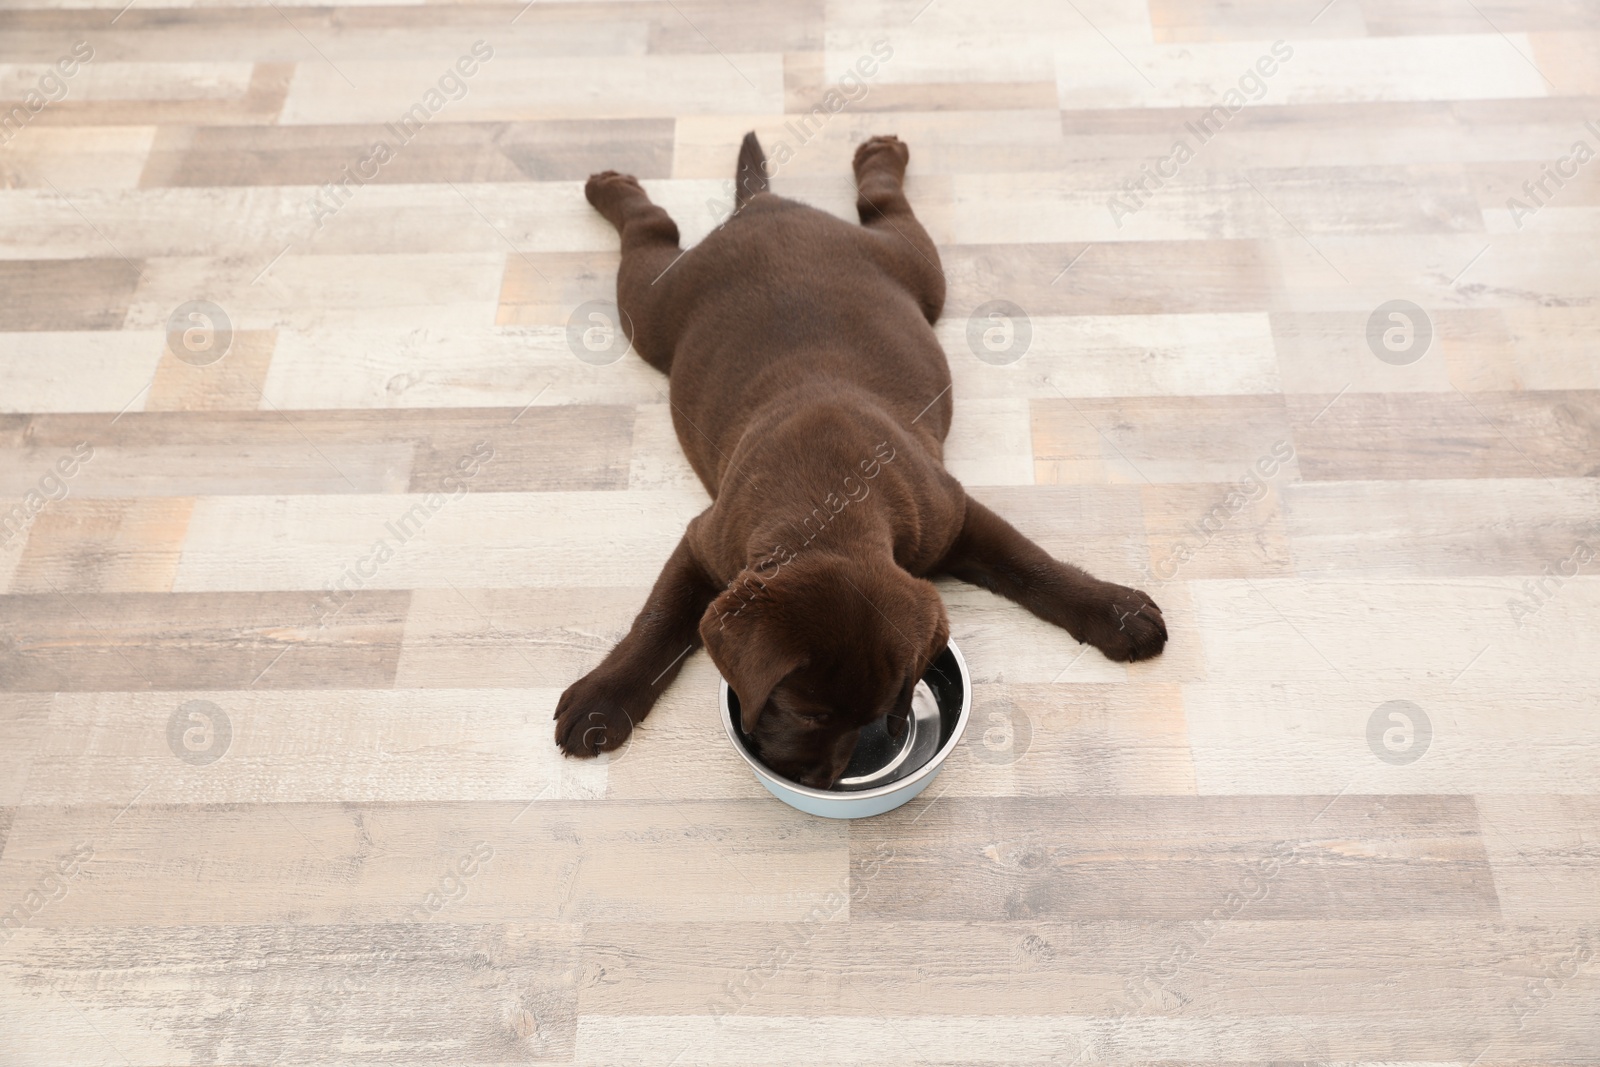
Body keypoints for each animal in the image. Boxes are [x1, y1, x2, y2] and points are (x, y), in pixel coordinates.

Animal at [553, 133, 1164, 790]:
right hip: (655, 306)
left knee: (880, 205)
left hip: (911, 269)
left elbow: (1033, 565)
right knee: (653, 227)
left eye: (875, 715)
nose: (817, 783)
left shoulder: (953, 513)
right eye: (806, 712)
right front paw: (603, 700)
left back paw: (878, 156)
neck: (831, 504)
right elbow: (659, 621)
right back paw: (615, 187)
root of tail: (765, 206)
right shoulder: (703, 542)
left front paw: (1115, 610)